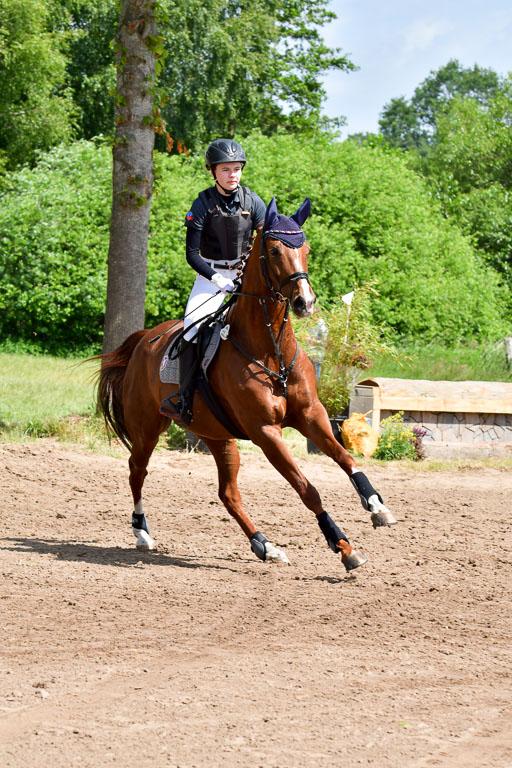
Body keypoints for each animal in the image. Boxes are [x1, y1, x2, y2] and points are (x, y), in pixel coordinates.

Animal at [96, 196, 396, 572]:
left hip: (217, 436)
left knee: (227, 493)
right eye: (274, 250)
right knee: (137, 470)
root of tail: (144, 340)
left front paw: (377, 505)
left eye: (306, 248)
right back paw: (142, 533)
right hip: (148, 427)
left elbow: (346, 458)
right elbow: (307, 489)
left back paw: (265, 546)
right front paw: (343, 546)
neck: (271, 352)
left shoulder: (311, 414)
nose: (305, 302)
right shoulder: (265, 431)